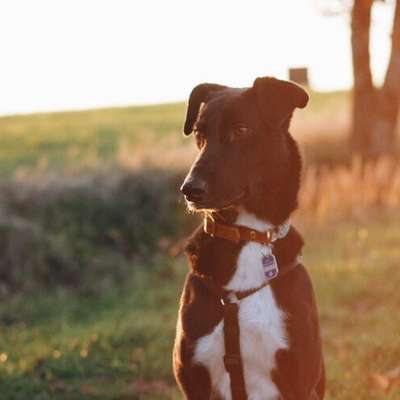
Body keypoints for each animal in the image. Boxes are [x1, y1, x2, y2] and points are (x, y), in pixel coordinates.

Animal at [173, 76, 324, 398]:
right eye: (199, 134)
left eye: (241, 130)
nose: (189, 189)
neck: (247, 236)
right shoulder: (194, 380)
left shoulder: (298, 378)